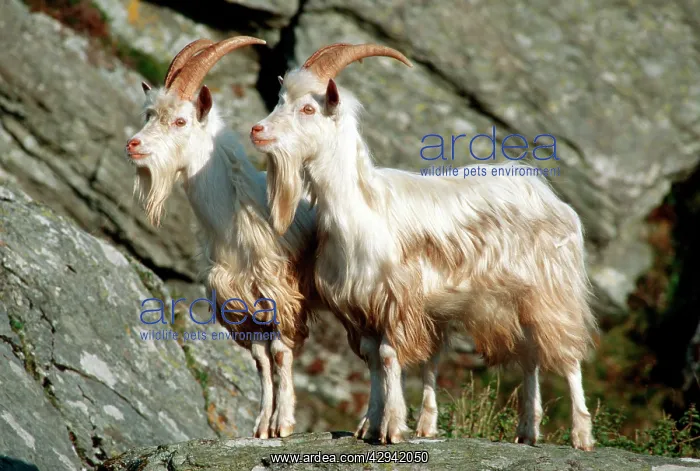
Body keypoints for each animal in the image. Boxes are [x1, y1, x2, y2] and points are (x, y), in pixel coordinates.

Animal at [125, 36, 325, 439]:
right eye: (149, 115)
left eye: (181, 120)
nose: (133, 145)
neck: (238, 216)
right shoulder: (238, 304)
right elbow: (261, 361)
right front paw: (261, 427)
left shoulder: (281, 294)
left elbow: (280, 354)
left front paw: (283, 424)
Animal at [250, 43, 598, 449]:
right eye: (280, 99)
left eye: (308, 109)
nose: (257, 130)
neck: (362, 208)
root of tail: (551, 198)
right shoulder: (359, 306)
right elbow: (372, 359)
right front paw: (371, 424)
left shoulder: (397, 300)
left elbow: (389, 356)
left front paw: (392, 428)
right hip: (515, 300)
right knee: (530, 355)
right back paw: (527, 431)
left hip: (553, 289)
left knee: (568, 355)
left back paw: (581, 435)